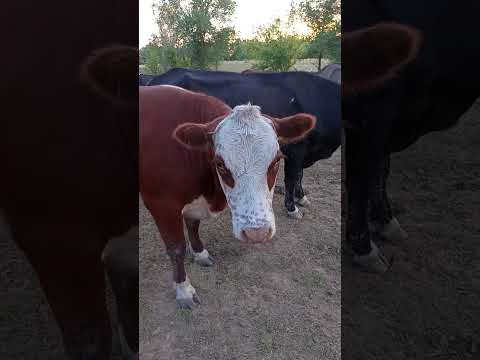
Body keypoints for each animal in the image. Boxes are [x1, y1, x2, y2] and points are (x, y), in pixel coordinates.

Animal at [140, 83, 316, 306]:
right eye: (220, 164)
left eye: (277, 160)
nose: (256, 233)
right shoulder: (161, 204)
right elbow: (176, 248)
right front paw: (183, 289)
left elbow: (193, 226)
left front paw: (200, 253)